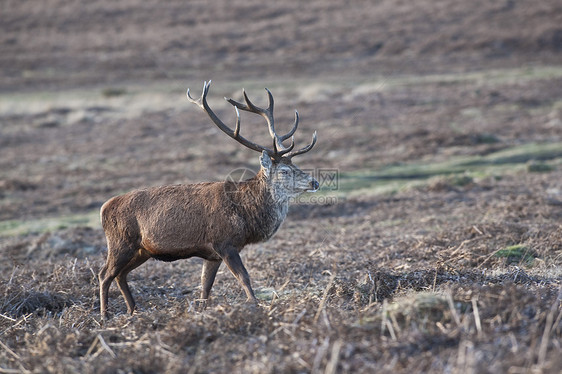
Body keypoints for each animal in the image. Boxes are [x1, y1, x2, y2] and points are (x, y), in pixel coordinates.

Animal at [98, 82, 318, 318]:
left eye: (296, 165)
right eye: (285, 171)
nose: (314, 182)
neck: (246, 216)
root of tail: (104, 207)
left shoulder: (212, 255)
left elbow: (205, 287)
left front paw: (201, 313)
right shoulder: (224, 243)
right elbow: (244, 278)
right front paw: (256, 307)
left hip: (142, 250)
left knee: (121, 275)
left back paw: (133, 311)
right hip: (120, 242)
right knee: (104, 274)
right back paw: (105, 315)